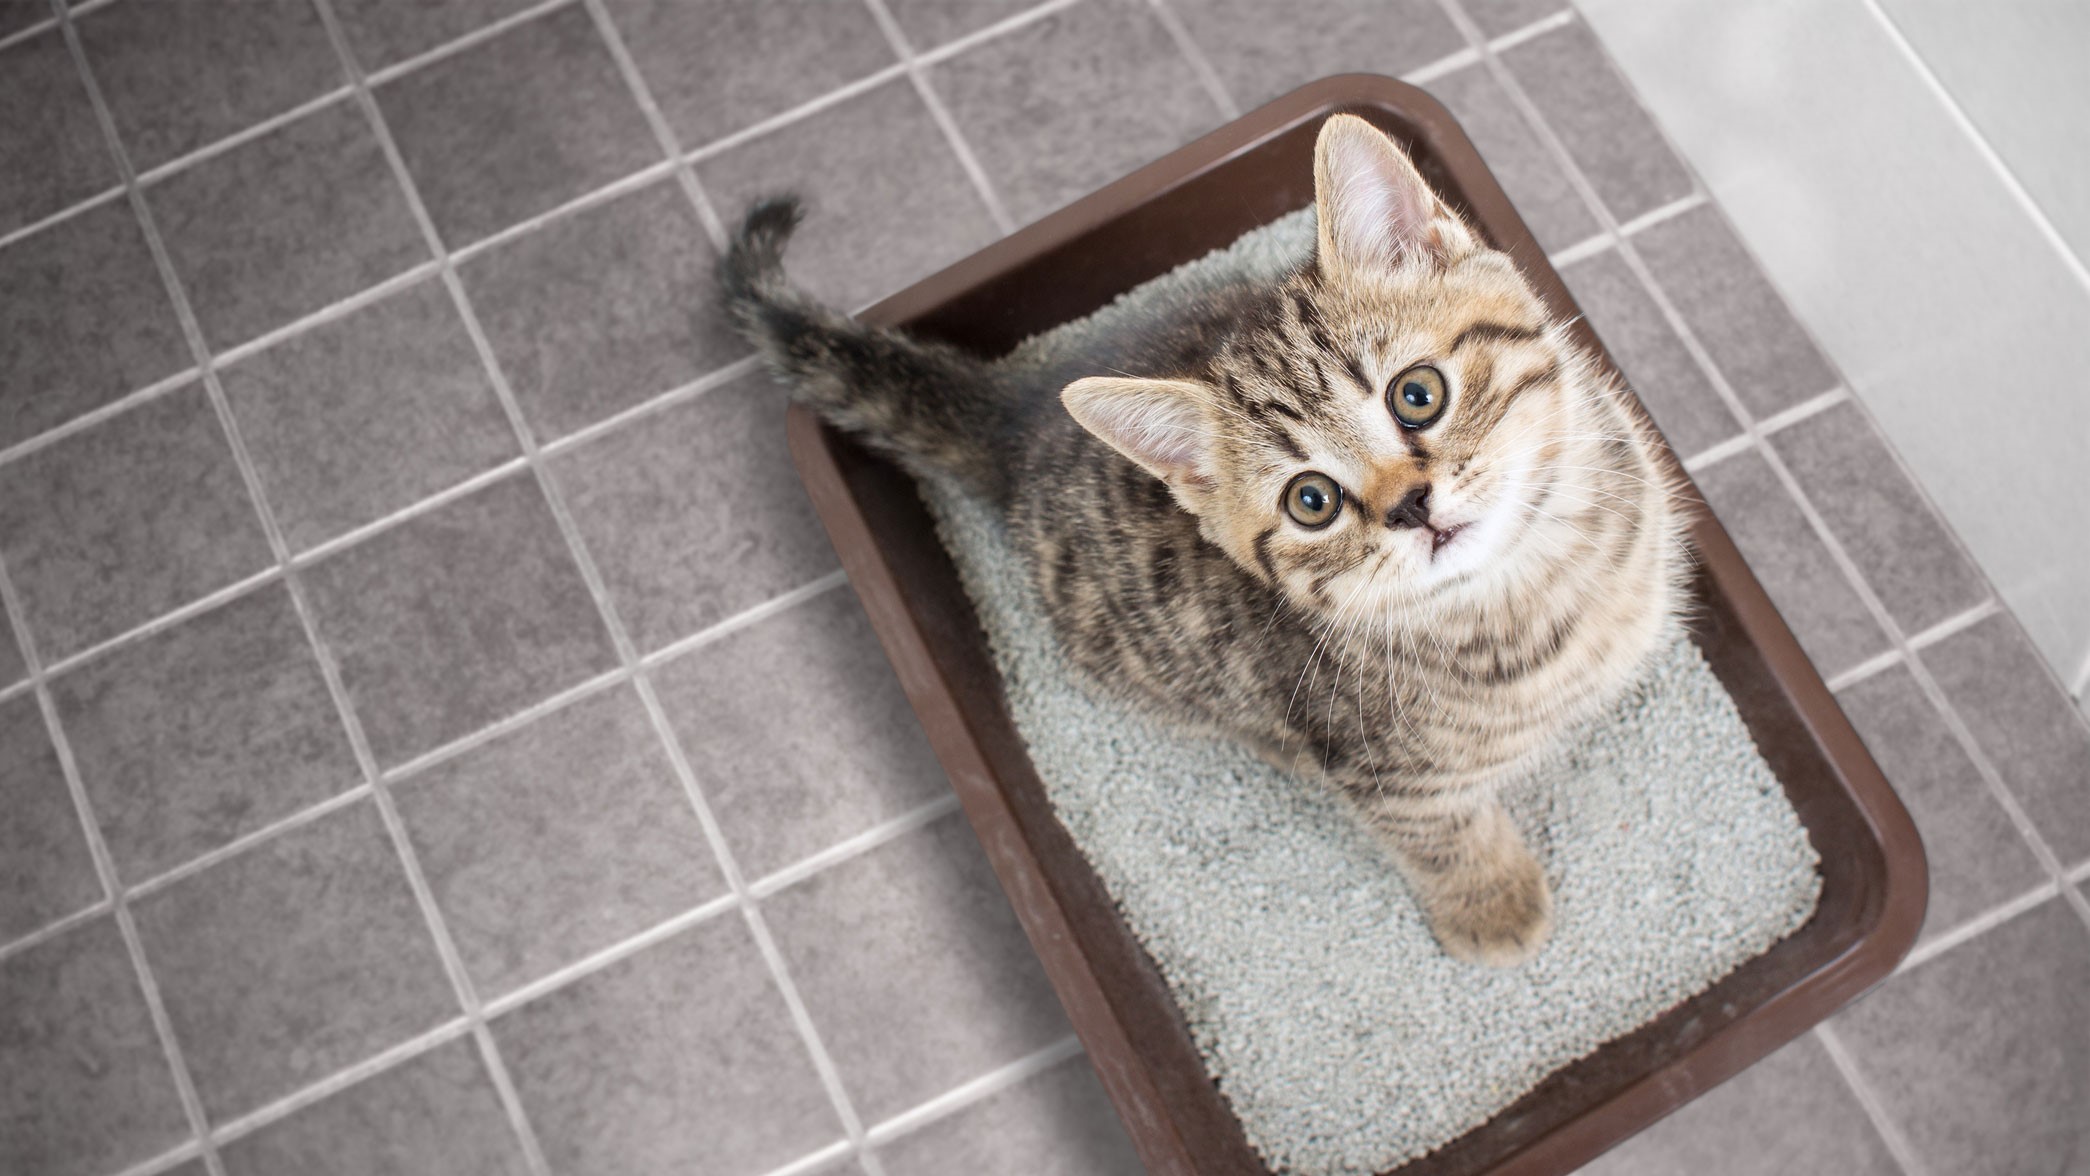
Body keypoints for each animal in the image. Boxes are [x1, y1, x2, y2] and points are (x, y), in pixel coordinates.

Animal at [727, 114, 1688, 969]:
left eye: (1418, 394)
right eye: (1311, 501)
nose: (1411, 507)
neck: (1540, 583)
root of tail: (1023, 421)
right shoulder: (1380, 768)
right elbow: (1441, 832)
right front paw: (1490, 904)